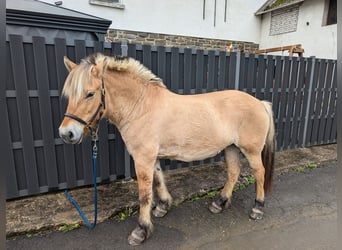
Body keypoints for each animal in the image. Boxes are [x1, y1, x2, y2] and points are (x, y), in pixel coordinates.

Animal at [58, 53, 276, 246]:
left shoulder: (142, 158)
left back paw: (257, 208)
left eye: (90, 94)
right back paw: (219, 203)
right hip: (230, 148)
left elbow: (145, 194)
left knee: (260, 173)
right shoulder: (151, 157)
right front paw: (163, 207)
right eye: (69, 95)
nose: (66, 133)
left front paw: (141, 230)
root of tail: (260, 103)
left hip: (251, 151)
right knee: (233, 172)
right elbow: (158, 180)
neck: (140, 107)